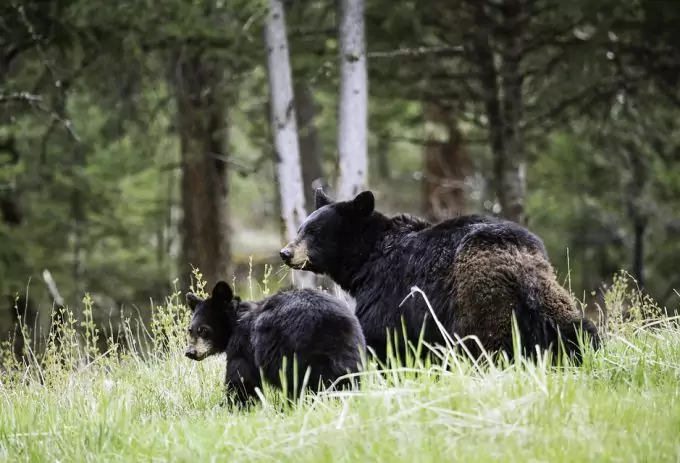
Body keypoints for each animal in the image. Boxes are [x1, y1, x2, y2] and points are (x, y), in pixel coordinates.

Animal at [185, 280, 366, 408]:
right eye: (190, 330)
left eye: (203, 330)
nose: (190, 352)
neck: (236, 320)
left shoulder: (243, 345)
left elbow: (242, 379)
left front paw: (229, 406)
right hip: (351, 349)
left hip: (293, 351)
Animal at [280, 188, 600, 366]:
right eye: (301, 228)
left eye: (315, 232)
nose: (285, 253)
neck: (367, 259)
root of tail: (518, 262)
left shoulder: (389, 290)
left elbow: (380, 335)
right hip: (550, 295)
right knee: (576, 329)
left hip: (479, 300)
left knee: (484, 344)